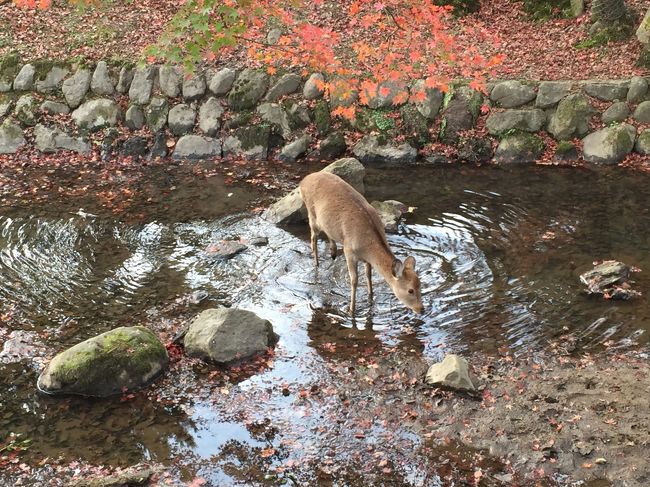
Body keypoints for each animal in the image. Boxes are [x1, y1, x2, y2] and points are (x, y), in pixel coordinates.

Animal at [299, 171, 424, 315]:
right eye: (410, 290)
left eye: (420, 284)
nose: (421, 309)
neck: (367, 246)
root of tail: (303, 181)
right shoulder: (348, 251)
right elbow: (354, 280)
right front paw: (351, 310)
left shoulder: (366, 259)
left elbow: (368, 275)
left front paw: (370, 297)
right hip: (312, 214)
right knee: (313, 238)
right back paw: (316, 263)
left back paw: (333, 252)